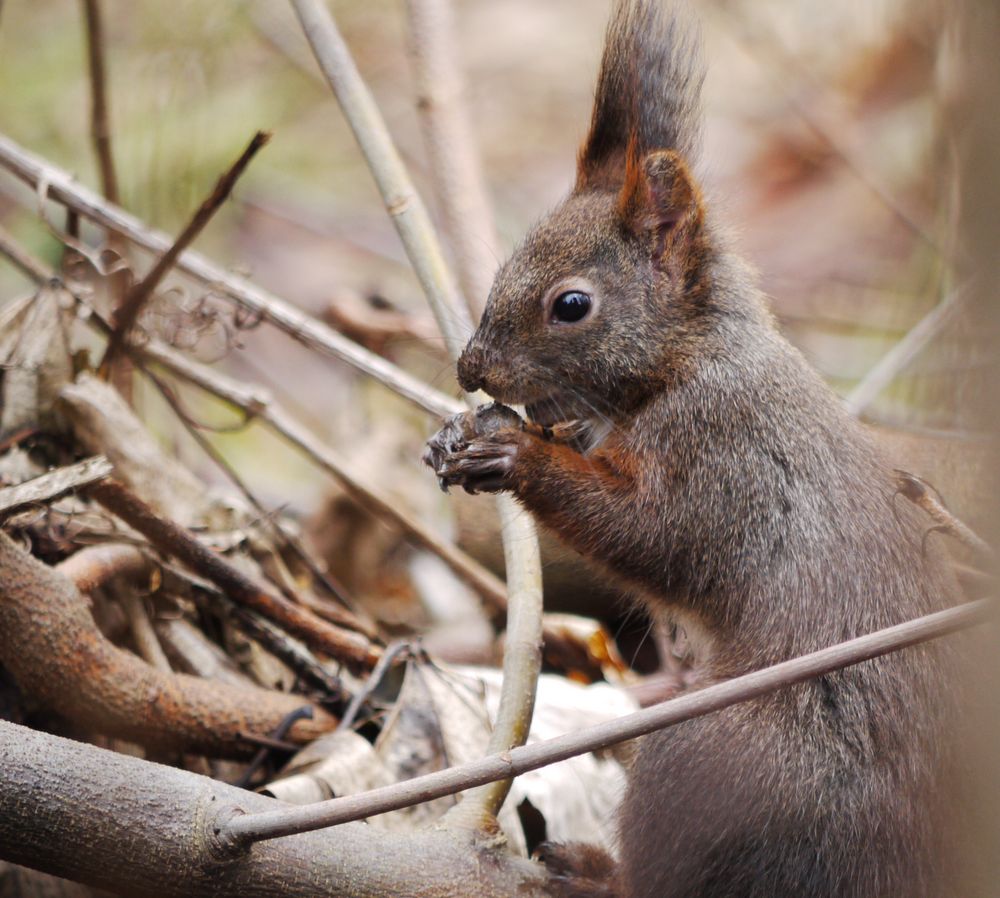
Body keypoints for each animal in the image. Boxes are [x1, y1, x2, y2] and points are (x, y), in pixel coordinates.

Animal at [424, 1, 968, 896]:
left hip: (709, 759)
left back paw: (594, 871)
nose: (472, 368)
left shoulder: (726, 458)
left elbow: (656, 537)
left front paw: (517, 456)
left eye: (570, 305)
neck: (686, 362)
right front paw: (458, 433)